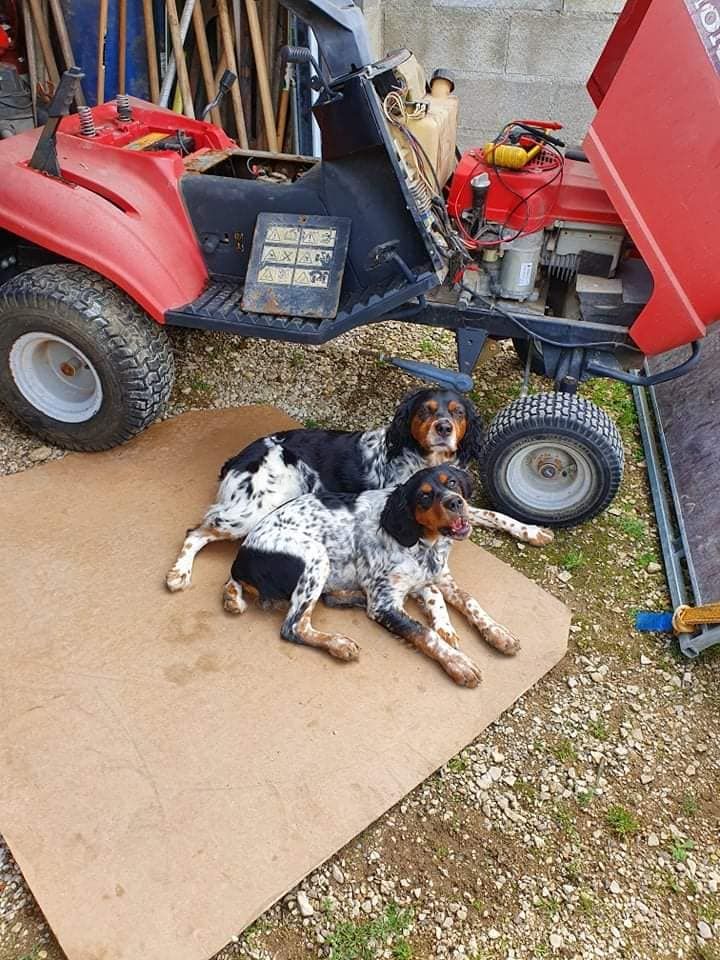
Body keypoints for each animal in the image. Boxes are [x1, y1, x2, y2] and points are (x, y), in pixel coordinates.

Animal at [167, 386, 552, 588]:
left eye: (457, 412)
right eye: (426, 411)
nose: (443, 427)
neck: (423, 459)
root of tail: (241, 454)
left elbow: (491, 514)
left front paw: (531, 530)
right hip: (255, 509)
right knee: (196, 532)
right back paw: (178, 573)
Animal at [224, 464, 516, 684]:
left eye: (452, 482)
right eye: (424, 497)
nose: (456, 502)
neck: (424, 545)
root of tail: (240, 559)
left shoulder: (437, 577)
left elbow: (468, 600)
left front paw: (498, 633)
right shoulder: (385, 603)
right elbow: (425, 633)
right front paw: (458, 663)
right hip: (316, 555)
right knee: (294, 626)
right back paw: (338, 643)